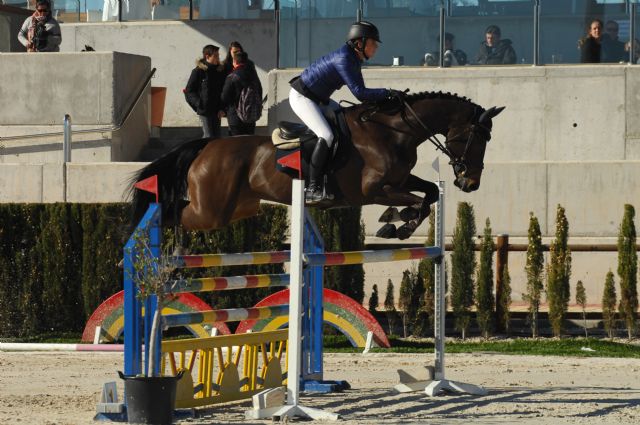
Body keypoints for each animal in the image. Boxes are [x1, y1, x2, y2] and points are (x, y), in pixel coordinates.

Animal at [130, 90, 504, 238]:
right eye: (479, 138)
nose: (470, 183)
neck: (395, 130)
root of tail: (208, 145)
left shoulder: (399, 180)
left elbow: (429, 193)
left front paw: (397, 223)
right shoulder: (374, 189)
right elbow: (415, 200)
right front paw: (397, 222)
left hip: (237, 208)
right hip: (211, 210)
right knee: (167, 212)